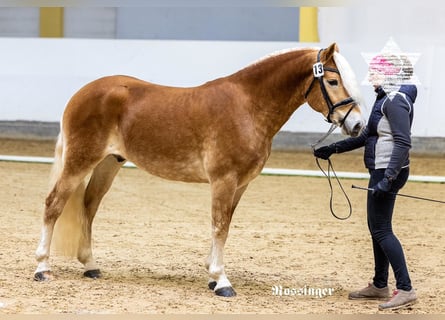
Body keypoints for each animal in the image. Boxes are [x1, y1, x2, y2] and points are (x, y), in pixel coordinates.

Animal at [34, 43, 362, 298]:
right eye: (333, 81)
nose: (357, 124)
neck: (248, 107)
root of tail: (82, 93)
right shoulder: (223, 180)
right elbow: (219, 226)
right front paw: (222, 281)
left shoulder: (240, 184)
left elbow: (225, 225)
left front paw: (212, 277)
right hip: (79, 161)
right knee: (54, 204)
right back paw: (42, 267)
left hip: (108, 164)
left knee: (88, 207)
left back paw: (90, 266)